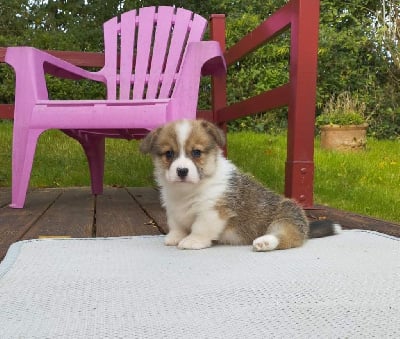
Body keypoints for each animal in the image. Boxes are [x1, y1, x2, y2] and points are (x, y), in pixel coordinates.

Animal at [141, 118, 340, 251]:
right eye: (169, 154)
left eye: (196, 152)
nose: (182, 171)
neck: (188, 190)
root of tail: (306, 228)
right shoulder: (174, 210)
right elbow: (177, 226)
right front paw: (174, 237)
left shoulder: (212, 212)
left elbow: (200, 228)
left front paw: (192, 241)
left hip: (286, 216)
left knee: (288, 237)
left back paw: (264, 242)